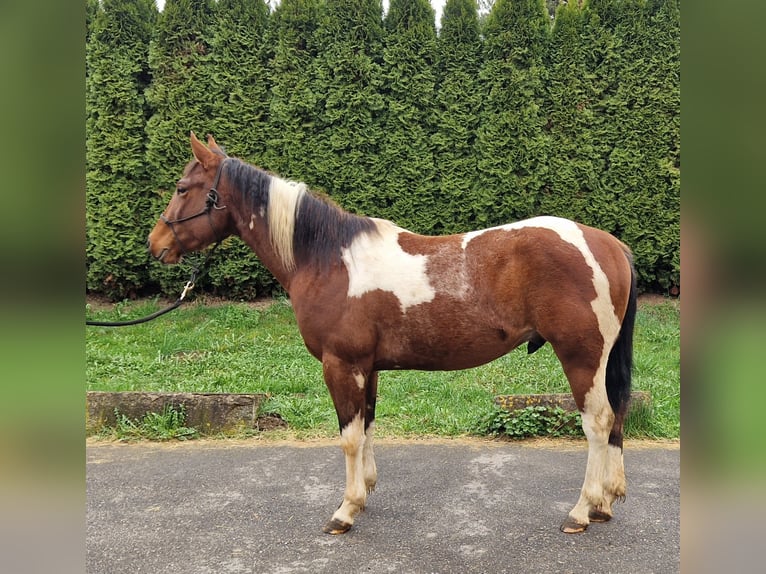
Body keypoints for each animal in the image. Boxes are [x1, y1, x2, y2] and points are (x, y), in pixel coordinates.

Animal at [148, 133, 638, 535]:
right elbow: (366, 427)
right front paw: (364, 493)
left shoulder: (341, 365)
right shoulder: (367, 367)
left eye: (182, 187)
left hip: (581, 357)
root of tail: (610, 244)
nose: (156, 245)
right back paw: (605, 504)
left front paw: (344, 512)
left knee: (598, 422)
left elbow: (348, 435)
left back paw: (581, 511)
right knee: (617, 415)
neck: (328, 259)